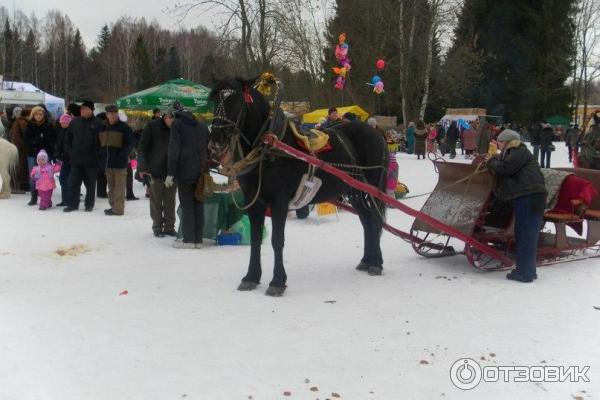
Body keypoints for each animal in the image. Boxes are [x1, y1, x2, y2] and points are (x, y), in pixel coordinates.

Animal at [211, 77, 390, 296]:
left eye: (235, 102)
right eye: (214, 102)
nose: (215, 142)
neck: (269, 146)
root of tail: (376, 133)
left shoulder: (278, 201)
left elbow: (277, 240)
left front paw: (277, 282)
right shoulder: (254, 201)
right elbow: (255, 239)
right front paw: (251, 277)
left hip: (372, 188)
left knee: (375, 220)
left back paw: (377, 263)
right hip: (355, 190)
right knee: (366, 221)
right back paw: (366, 260)